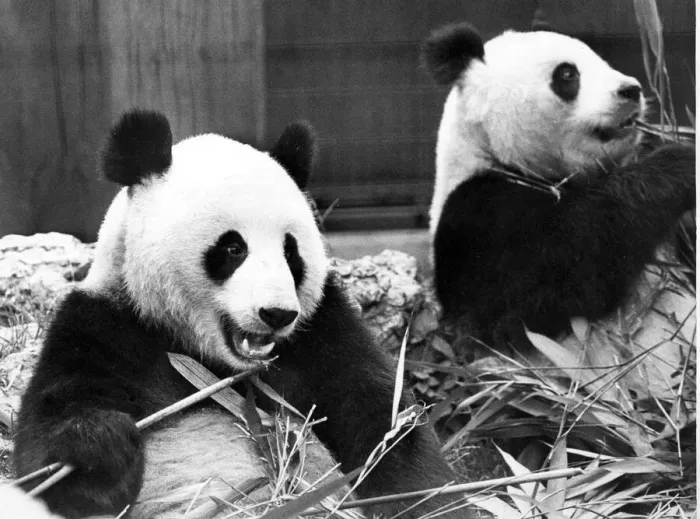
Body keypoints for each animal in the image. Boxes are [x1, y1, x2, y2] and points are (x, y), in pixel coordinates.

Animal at [13, 110, 469, 519]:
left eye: (291, 252)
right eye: (233, 248)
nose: (277, 314)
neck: (212, 362)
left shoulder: (322, 329)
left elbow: (382, 418)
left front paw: (430, 500)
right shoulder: (106, 326)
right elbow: (47, 447)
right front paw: (101, 448)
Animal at [420, 22, 696, 348]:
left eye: (601, 60)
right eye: (567, 74)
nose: (631, 90)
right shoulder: (480, 216)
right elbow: (562, 274)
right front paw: (681, 163)